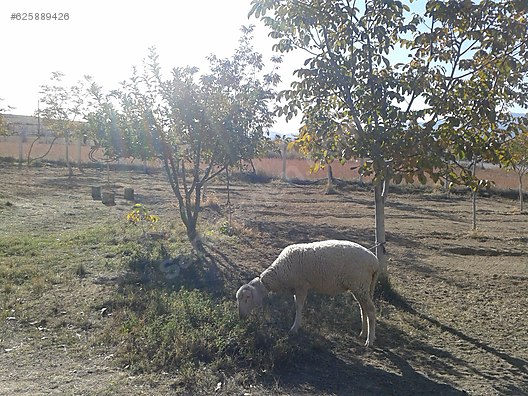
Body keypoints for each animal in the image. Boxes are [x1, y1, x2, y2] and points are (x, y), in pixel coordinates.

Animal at [235, 238, 380, 346]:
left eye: (247, 298)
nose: (241, 316)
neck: (280, 273)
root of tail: (375, 262)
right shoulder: (298, 288)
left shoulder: (301, 287)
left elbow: (298, 306)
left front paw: (294, 328)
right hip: (361, 287)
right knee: (363, 308)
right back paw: (363, 333)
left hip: (360, 284)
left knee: (371, 310)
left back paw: (370, 340)